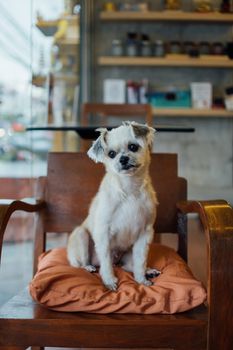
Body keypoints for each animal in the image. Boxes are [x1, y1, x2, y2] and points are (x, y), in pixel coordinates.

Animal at [66, 120, 159, 290]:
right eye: (111, 154)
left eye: (133, 147)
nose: (123, 159)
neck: (129, 190)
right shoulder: (103, 234)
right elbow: (106, 262)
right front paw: (109, 280)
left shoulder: (144, 235)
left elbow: (140, 261)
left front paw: (141, 279)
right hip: (81, 235)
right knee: (83, 263)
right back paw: (88, 267)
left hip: (128, 254)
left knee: (129, 266)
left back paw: (148, 271)